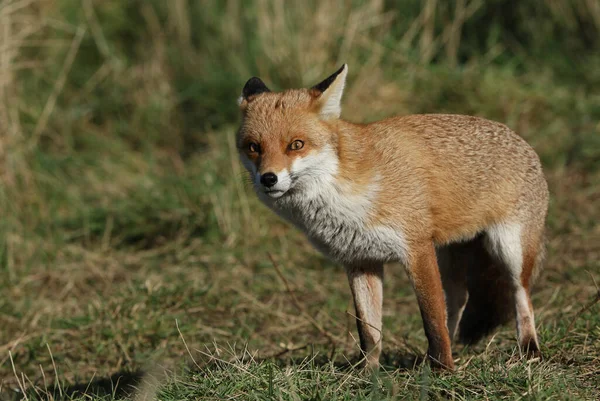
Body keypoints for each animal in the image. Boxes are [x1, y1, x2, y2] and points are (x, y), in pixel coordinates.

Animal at [234, 63, 548, 368]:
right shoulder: (360, 260)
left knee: (521, 295)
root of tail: (521, 140)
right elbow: (369, 331)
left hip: (509, 249)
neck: (344, 195)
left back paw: (529, 350)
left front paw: (443, 370)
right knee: (459, 298)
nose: (268, 179)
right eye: (253, 147)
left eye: (296, 144)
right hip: (449, 256)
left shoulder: (416, 248)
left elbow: (432, 319)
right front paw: (367, 372)